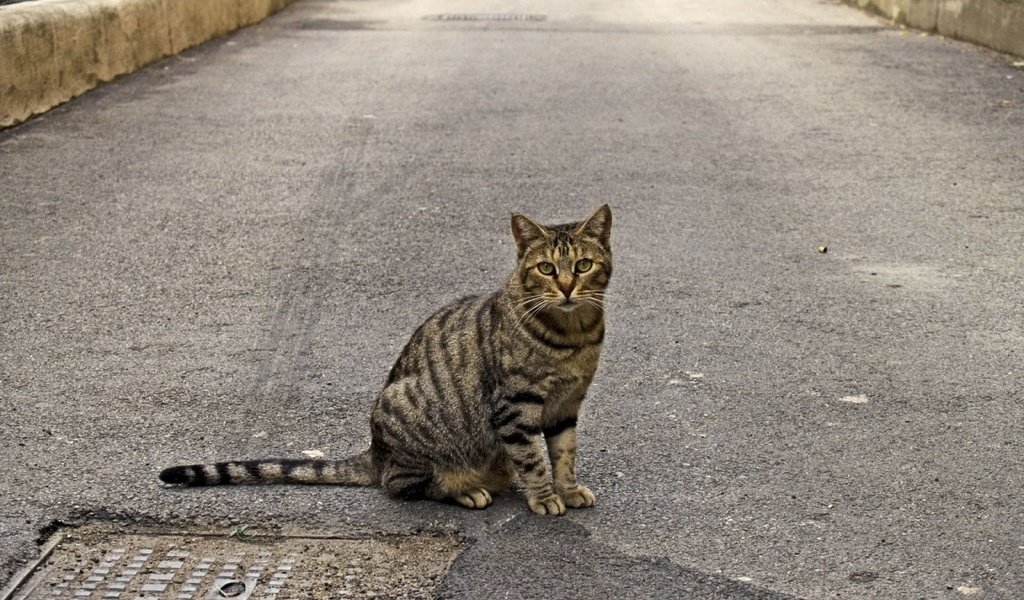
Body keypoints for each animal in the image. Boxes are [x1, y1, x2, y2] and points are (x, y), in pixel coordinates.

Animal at [157, 204, 606, 513]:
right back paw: (463, 489)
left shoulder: (566, 405)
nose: (567, 287)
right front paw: (544, 497)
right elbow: (532, 458)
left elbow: (563, 454)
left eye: (583, 265)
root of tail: (374, 450)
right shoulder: (514, 406)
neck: (574, 335)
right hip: (405, 411)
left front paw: (567, 489)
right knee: (402, 484)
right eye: (546, 269)